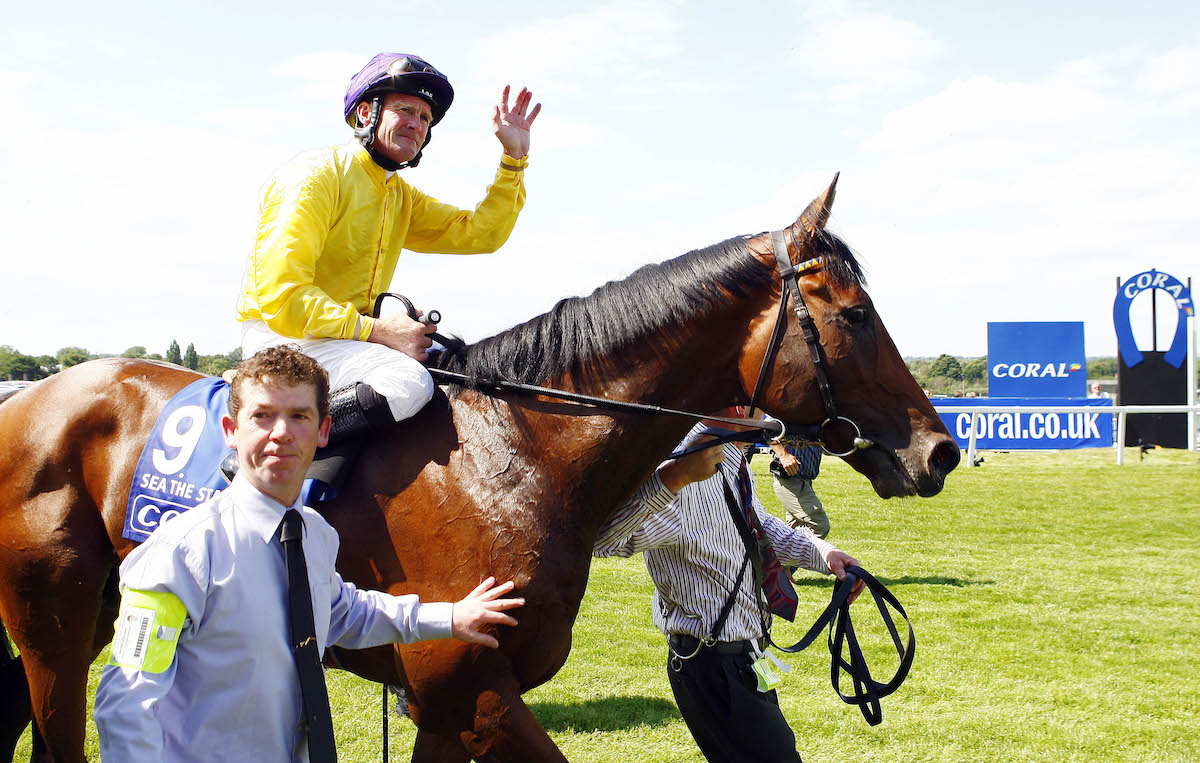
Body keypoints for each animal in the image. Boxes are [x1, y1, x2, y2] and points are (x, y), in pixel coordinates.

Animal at [0, 179, 955, 763]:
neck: (517, 455)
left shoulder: (449, 703)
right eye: (856, 314)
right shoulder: (470, 691)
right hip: (53, 626)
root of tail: (29, 396)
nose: (938, 449)